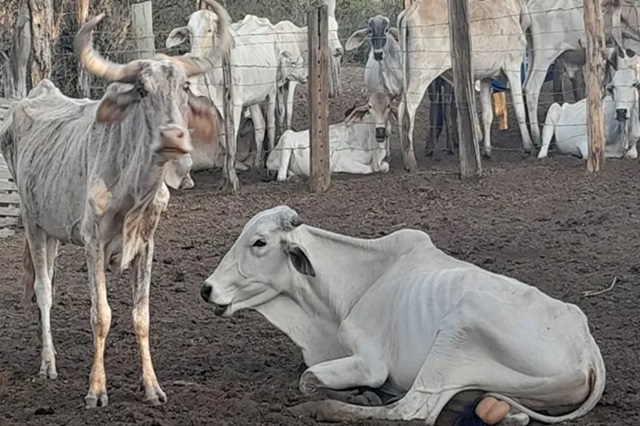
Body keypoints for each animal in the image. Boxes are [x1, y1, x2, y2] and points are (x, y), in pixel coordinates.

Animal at [0, 4, 231, 410]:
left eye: (184, 88)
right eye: (141, 90)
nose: (173, 137)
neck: (133, 190)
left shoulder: (146, 244)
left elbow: (141, 315)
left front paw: (152, 387)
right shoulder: (92, 242)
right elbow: (101, 315)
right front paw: (96, 389)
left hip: (54, 230)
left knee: (50, 282)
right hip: (33, 223)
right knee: (43, 289)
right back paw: (48, 363)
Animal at [200, 205, 604, 424]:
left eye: (260, 242)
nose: (207, 289)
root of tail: (587, 348)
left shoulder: (371, 363)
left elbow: (308, 378)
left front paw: (360, 395)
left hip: (462, 324)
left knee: (413, 411)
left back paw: (325, 408)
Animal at [264, 92, 396, 181]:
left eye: (389, 106)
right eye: (369, 107)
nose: (380, 131)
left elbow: (385, 166)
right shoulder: (343, 161)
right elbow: (370, 169)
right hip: (286, 141)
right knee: (281, 176)